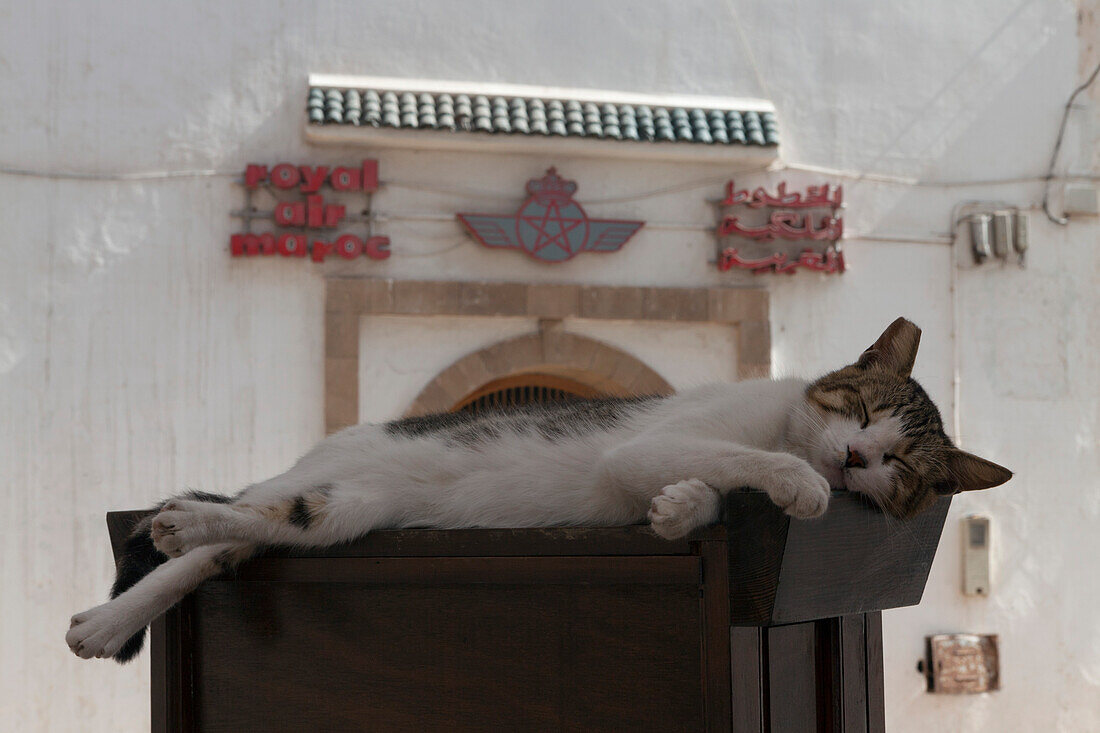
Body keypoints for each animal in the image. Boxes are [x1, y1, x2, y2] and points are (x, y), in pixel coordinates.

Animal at [66, 316, 1012, 660]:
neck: (783, 426)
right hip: (316, 479)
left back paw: (128, 596)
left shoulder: (644, 462)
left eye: (901, 467)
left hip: (337, 515)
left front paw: (681, 508)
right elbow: (741, 460)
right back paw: (158, 545)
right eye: (863, 407)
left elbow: (694, 486)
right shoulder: (658, 439)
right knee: (211, 522)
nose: (854, 459)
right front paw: (799, 484)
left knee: (243, 533)